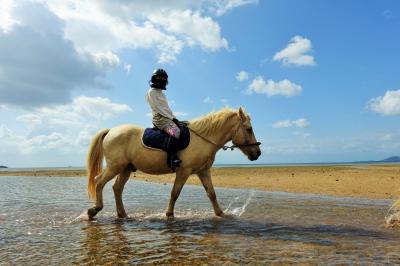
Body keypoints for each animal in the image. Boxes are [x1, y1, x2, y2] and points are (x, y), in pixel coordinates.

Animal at [86, 106, 262, 220]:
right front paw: (169, 214)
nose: (257, 153)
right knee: (99, 182)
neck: (202, 139)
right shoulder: (184, 171)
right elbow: (175, 193)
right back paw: (94, 210)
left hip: (125, 169)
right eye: (249, 129)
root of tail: (111, 131)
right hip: (115, 167)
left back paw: (122, 214)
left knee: (117, 188)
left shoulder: (203, 171)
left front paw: (220, 214)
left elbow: (211, 193)